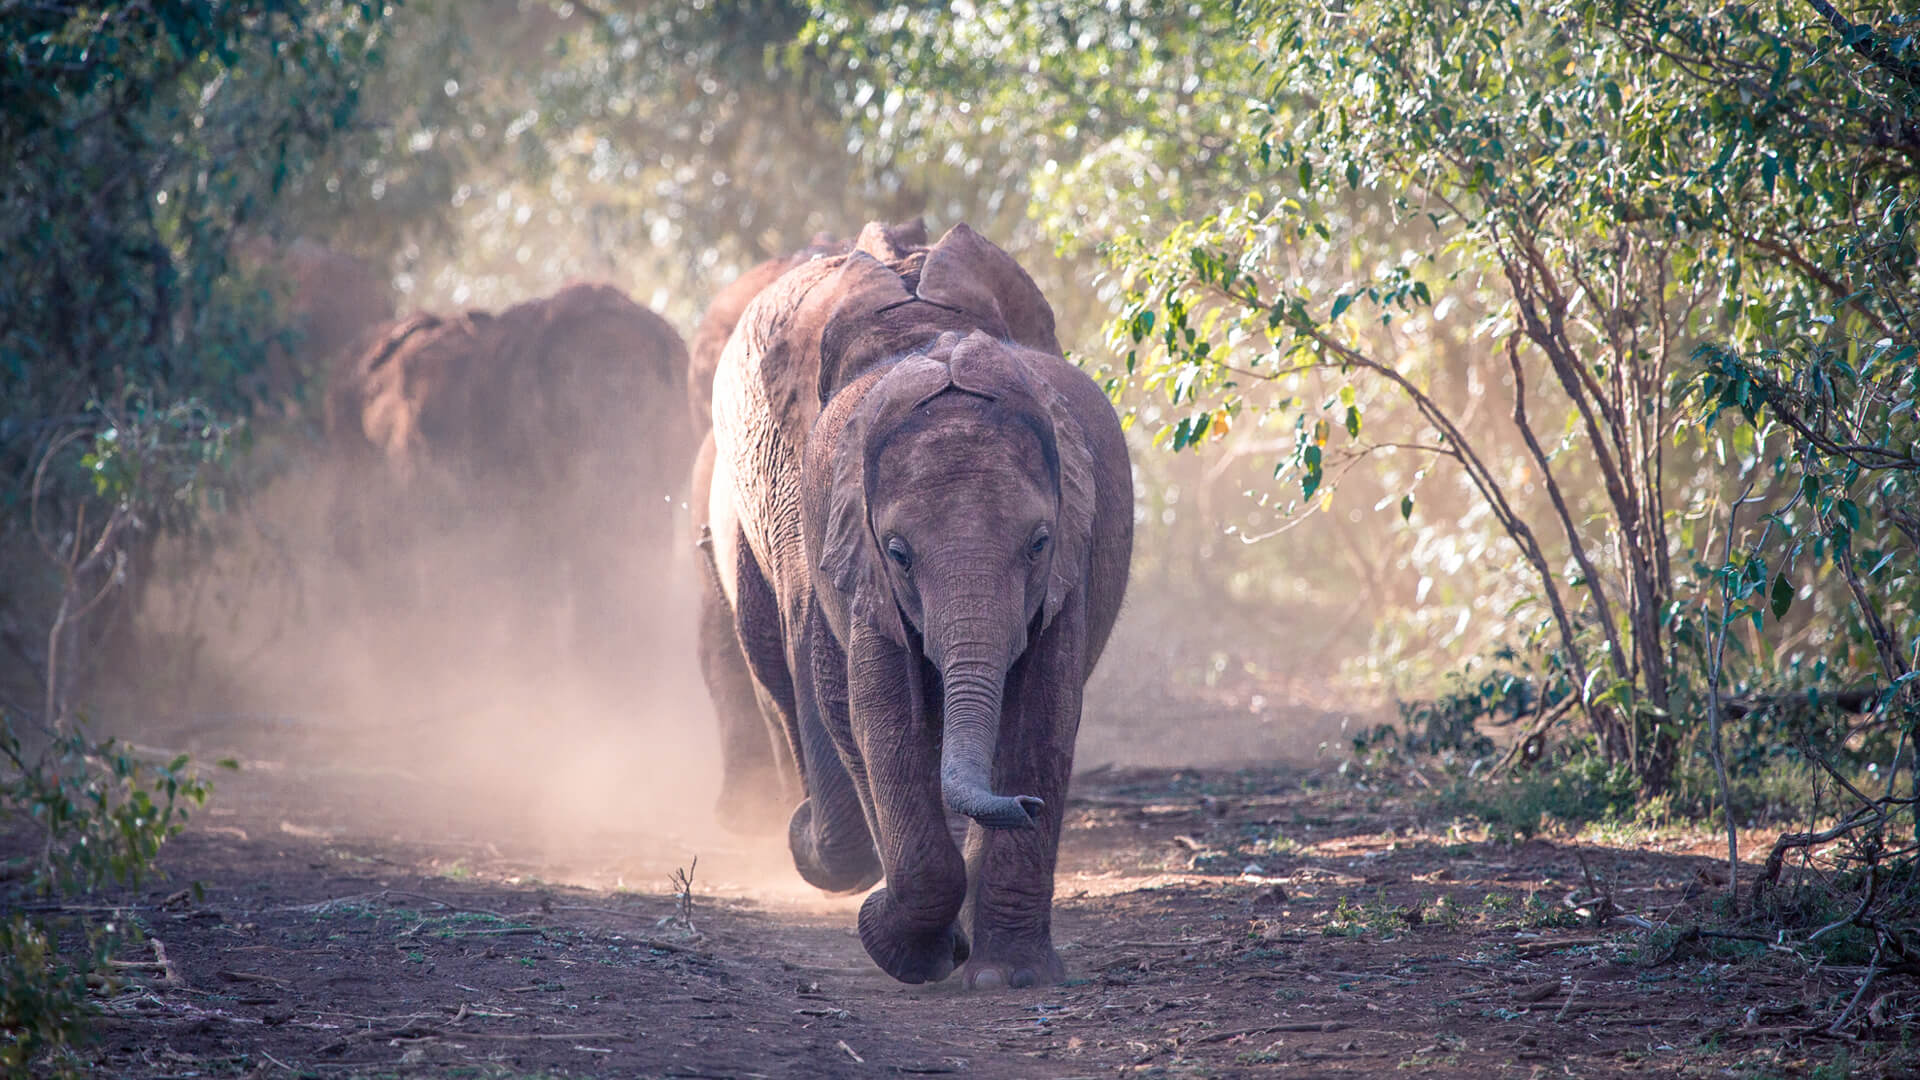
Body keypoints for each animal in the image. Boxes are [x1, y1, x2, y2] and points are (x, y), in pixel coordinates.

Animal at [697, 221, 1133, 989]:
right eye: (898, 553)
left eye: (1039, 543)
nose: (1025, 806)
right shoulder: (827, 530)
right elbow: (874, 710)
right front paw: (908, 946)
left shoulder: (1068, 564)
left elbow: (1045, 710)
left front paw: (1008, 978)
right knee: (781, 672)